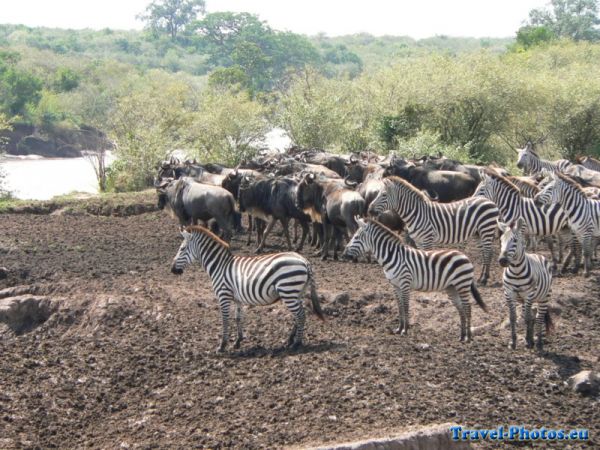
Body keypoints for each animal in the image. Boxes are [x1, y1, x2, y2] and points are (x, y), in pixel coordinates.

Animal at [170, 225, 324, 352]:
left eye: (182, 249)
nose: (172, 270)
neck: (220, 265)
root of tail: (304, 261)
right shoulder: (237, 298)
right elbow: (238, 317)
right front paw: (238, 341)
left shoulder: (223, 295)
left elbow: (225, 319)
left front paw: (222, 345)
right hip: (296, 293)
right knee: (298, 315)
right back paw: (290, 340)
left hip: (288, 291)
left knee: (300, 315)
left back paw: (297, 343)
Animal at [342, 218, 488, 342]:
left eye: (355, 237)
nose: (343, 255)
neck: (393, 256)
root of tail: (464, 255)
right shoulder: (395, 286)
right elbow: (399, 307)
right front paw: (399, 329)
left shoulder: (405, 283)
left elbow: (406, 306)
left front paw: (405, 330)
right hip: (452, 287)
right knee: (461, 309)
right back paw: (462, 336)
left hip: (462, 285)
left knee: (468, 308)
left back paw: (468, 337)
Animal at [368, 176, 500, 284]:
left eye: (384, 195)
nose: (369, 210)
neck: (417, 213)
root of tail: (489, 201)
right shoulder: (419, 241)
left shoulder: (427, 238)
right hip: (478, 232)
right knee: (485, 252)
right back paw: (483, 277)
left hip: (486, 229)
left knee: (488, 252)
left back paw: (484, 279)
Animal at [496, 218, 552, 352]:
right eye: (501, 240)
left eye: (515, 241)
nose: (502, 261)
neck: (516, 272)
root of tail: (537, 254)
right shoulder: (509, 293)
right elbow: (513, 317)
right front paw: (513, 342)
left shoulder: (529, 294)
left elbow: (527, 318)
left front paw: (528, 342)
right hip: (523, 300)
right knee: (531, 316)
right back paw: (531, 339)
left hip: (544, 297)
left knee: (539, 317)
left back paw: (538, 343)